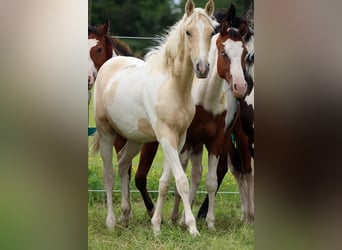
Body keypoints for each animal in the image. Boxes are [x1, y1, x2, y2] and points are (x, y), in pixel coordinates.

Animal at [91, 0, 216, 235]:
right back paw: (111, 222)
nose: (203, 68)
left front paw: (157, 224)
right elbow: (182, 181)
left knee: (123, 164)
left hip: (135, 139)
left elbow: (166, 181)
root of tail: (108, 65)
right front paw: (192, 227)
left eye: (212, 32)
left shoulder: (179, 138)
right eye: (188, 32)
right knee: (109, 174)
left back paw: (125, 215)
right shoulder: (166, 137)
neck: (173, 87)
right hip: (106, 132)